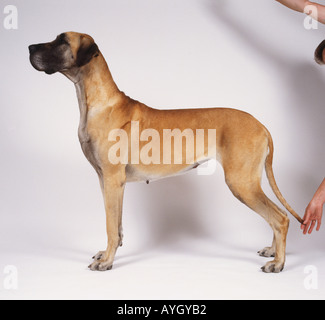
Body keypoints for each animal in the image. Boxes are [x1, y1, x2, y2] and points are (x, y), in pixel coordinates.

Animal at [27, 31, 302, 272]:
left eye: (62, 40)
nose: (30, 47)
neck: (95, 101)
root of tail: (261, 124)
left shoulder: (113, 179)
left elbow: (110, 225)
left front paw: (106, 262)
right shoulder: (107, 180)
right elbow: (117, 225)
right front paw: (108, 253)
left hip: (242, 183)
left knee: (280, 218)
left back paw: (278, 263)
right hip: (249, 182)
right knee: (276, 216)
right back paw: (273, 251)